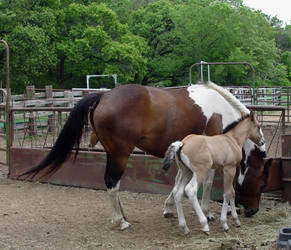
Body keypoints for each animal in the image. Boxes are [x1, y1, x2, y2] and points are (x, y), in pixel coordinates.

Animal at [20, 81, 266, 229]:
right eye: (262, 181)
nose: (253, 211)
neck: (223, 112)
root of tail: (103, 96)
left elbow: (178, 183)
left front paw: (169, 208)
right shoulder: (209, 156)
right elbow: (206, 183)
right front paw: (209, 214)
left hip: (112, 153)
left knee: (111, 184)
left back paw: (122, 216)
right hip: (120, 154)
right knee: (112, 182)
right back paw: (121, 221)